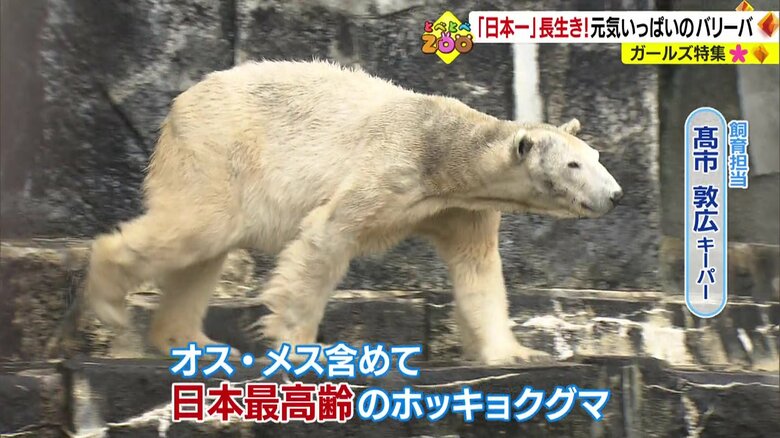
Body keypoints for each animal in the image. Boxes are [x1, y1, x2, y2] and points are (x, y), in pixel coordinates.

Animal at [81, 60, 623, 365]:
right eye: (574, 164)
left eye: (596, 156)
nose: (615, 195)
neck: (444, 153)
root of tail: (180, 104)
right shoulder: (392, 169)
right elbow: (326, 237)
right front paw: (300, 345)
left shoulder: (459, 207)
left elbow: (479, 272)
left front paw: (517, 352)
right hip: (218, 149)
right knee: (202, 227)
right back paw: (108, 302)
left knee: (202, 254)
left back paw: (195, 342)